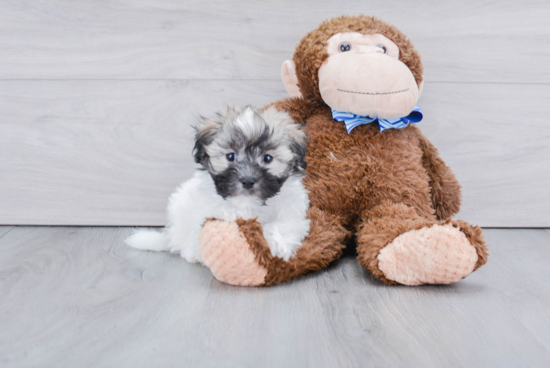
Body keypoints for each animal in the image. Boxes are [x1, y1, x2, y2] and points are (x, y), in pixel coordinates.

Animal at [126, 105, 312, 264]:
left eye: (267, 158)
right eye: (230, 156)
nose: (247, 181)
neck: (248, 204)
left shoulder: (293, 210)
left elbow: (285, 224)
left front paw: (279, 244)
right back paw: (191, 252)